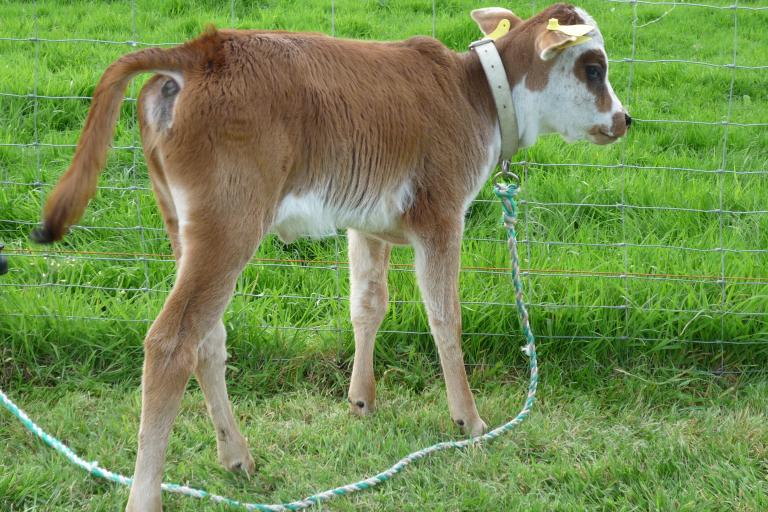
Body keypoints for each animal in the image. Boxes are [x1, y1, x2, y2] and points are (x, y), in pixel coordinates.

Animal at [31, 3, 632, 508]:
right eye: (593, 67)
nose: (625, 120)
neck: (478, 95)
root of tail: (202, 49)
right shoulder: (441, 216)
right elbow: (445, 318)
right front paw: (470, 420)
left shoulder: (367, 225)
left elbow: (368, 305)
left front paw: (362, 400)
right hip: (230, 225)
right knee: (170, 342)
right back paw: (148, 495)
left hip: (184, 225)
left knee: (208, 340)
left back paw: (236, 455)